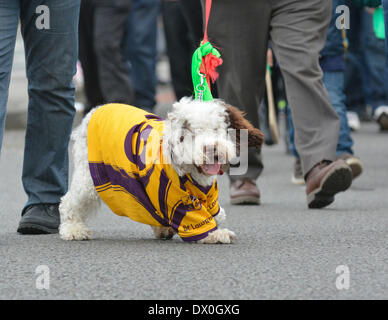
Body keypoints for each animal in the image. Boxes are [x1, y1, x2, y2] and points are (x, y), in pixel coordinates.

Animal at [58, 97, 264, 242]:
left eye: (216, 128)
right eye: (190, 132)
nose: (212, 149)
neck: (192, 172)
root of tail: (94, 110)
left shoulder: (209, 195)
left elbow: (217, 213)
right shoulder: (177, 198)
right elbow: (197, 221)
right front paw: (217, 234)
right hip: (88, 175)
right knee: (69, 202)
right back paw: (73, 230)